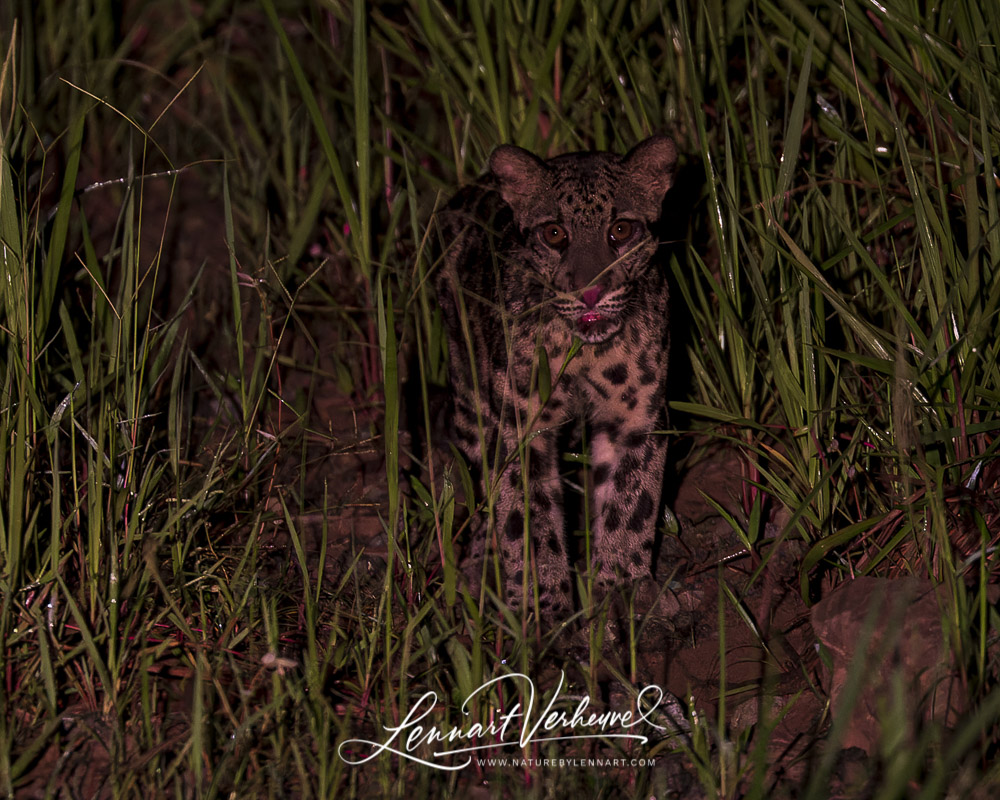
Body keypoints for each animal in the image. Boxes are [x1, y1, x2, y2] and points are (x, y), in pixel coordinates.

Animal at [440, 138, 680, 620]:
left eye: (621, 230)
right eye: (554, 234)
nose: (590, 292)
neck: (587, 353)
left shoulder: (638, 416)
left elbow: (631, 503)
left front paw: (621, 591)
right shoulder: (519, 425)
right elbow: (526, 518)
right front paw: (543, 607)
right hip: (468, 399)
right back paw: (479, 568)